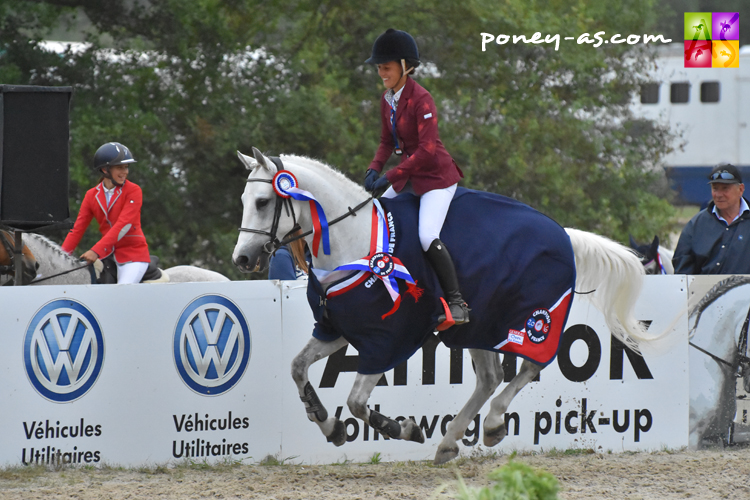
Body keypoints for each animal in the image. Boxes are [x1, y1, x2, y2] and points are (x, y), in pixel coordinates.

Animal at [231, 148, 664, 464]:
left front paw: (402, 429)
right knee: (490, 377)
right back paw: (451, 440)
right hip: (480, 325)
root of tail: (563, 233)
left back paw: (492, 423)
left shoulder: (388, 339)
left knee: (529, 366)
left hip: (533, 320)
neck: (352, 241)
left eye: (264, 201)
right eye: (244, 200)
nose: (242, 259)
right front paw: (328, 426)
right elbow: (298, 368)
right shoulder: (338, 329)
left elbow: (355, 402)